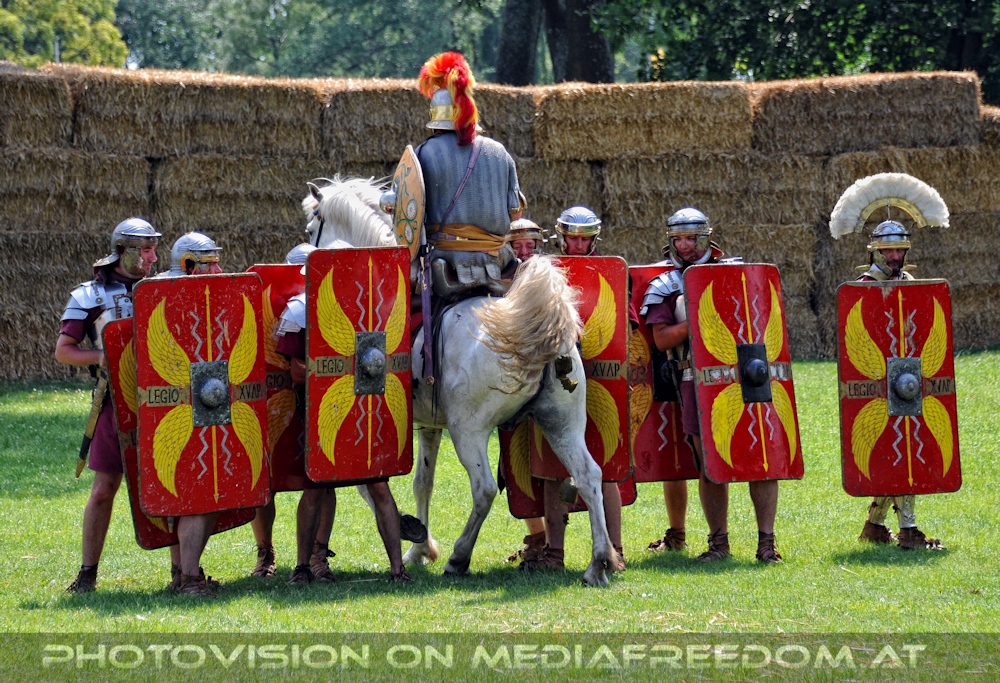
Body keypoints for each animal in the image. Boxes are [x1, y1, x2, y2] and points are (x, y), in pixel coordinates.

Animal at [302, 176, 617, 586]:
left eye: (312, 226)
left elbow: (368, 485)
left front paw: (412, 534)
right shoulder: (429, 425)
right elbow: (423, 481)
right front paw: (419, 548)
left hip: (470, 431)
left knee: (484, 489)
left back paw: (459, 556)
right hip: (561, 421)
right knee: (589, 476)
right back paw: (598, 563)